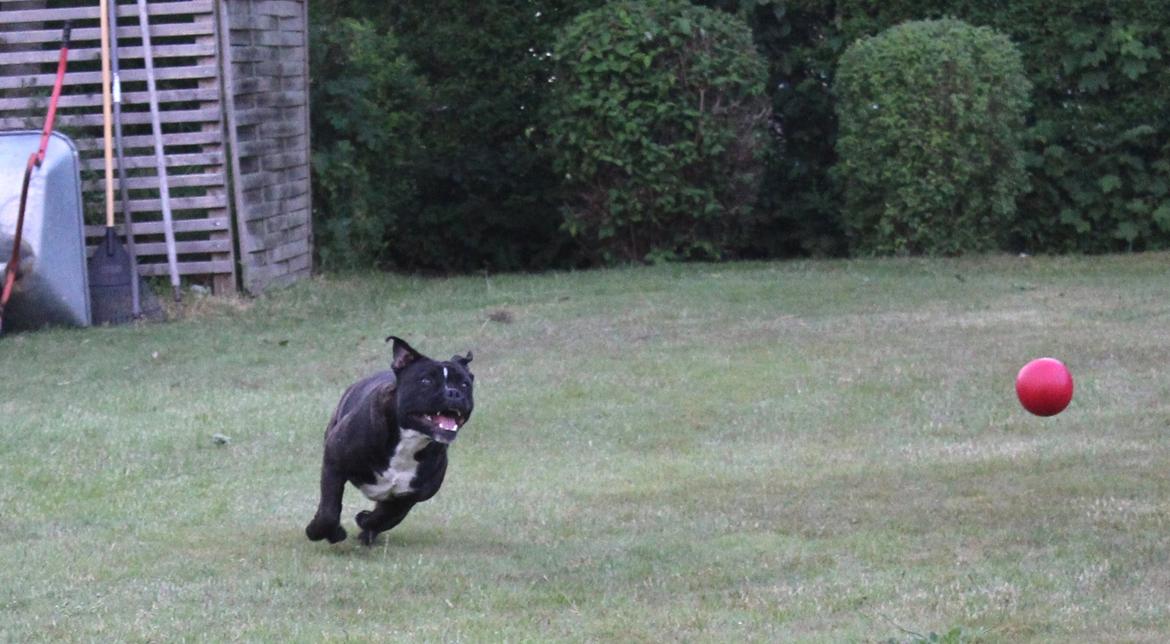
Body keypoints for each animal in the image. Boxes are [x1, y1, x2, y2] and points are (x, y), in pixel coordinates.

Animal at [308, 337, 477, 545]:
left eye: (464, 384)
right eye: (426, 381)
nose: (453, 392)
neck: (409, 440)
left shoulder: (411, 493)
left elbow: (387, 516)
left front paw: (366, 521)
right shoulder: (334, 461)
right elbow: (329, 510)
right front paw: (321, 531)